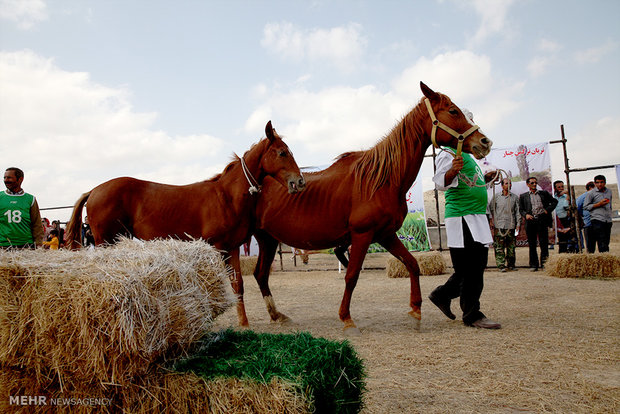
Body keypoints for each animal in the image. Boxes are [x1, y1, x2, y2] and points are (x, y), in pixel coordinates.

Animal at [67, 121, 306, 322]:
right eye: (282, 152)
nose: (300, 181)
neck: (226, 196)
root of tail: (94, 190)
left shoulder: (233, 248)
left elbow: (238, 285)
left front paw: (244, 323)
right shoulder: (216, 247)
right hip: (105, 241)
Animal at [243, 82, 494, 332]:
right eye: (453, 111)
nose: (485, 142)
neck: (380, 180)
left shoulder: (385, 235)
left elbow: (412, 264)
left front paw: (416, 310)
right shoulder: (362, 235)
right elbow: (352, 276)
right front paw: (346, 317)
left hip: (268, 239)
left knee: (261, 274)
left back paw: (276, 315)